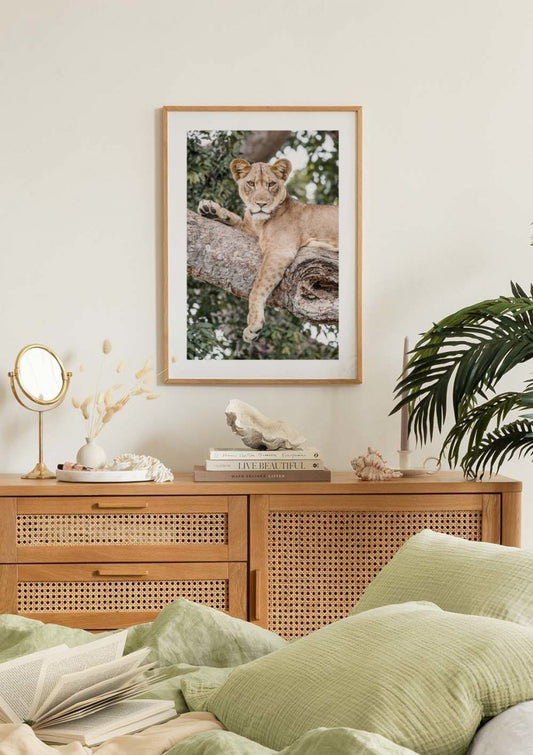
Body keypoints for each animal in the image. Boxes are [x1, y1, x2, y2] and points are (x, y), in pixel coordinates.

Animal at [198, 158, 338, 342]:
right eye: (251, 183)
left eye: (271, 184)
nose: (261, 204)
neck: (259, 221)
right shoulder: (250, 230)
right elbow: (236, 219)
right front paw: (210, 209)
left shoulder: (279, 251)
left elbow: (258, 287)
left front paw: (253, 324)